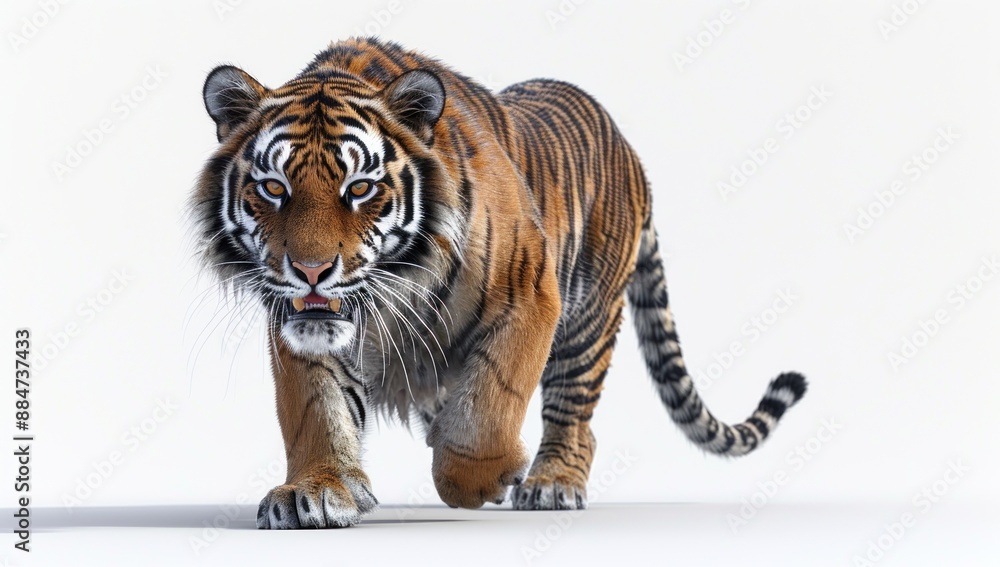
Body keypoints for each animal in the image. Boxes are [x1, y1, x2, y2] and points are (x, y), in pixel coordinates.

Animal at [191, 37, 807, 529]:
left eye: (360, 188)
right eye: (273, 188)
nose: (311, 270)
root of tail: (629, 149)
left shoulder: (529, 293)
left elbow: (490, 406)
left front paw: (479, 480)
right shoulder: (304, 325)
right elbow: (317, 410)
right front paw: (316, 492)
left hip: (587, 322)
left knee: (573, 414)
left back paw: (551, 483)